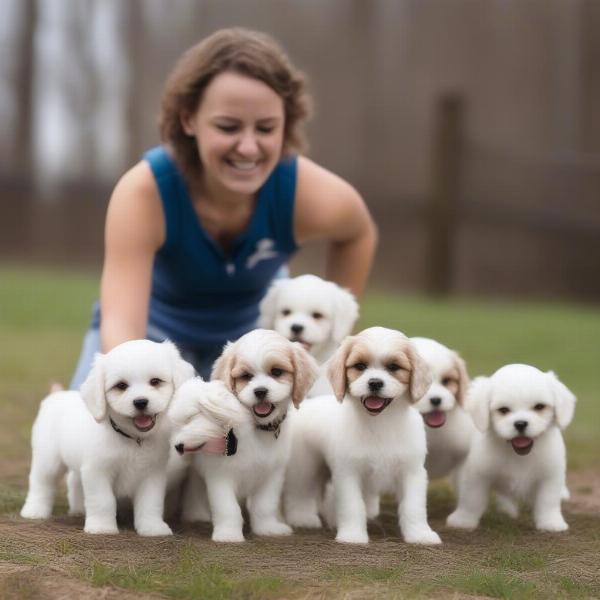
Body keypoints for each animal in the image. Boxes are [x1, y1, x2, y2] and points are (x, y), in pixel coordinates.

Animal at [20, 340, 195, 536]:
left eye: (155, 381)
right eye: (121, 386)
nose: (141, 402)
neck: (133, 439)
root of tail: (56, 396)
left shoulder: (152, 475)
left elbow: (150, 503)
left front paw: (152, 527)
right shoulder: (97, 471)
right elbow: (103, 501)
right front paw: (101, 527)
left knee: (74, 481)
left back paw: (78, 509)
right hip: (48, 460)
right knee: (41, 483)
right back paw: (35, 510)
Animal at [183, 330, 322, 540]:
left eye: (276, 372)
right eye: (246, 376)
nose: (260, 391)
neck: (256, 428)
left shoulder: (271, 475)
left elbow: (264, 506)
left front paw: (267, 528)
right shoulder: (220, 476)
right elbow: (228, 508)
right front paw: (228, 534)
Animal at [282, 326, 440, 548]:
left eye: (393, 367)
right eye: (360, 366)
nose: (374, 382)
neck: (380, 423)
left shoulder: (412, 472)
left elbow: (413, 507)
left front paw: (420, 534)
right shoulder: (348, 473)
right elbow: (352, 506)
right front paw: (352, 535)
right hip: (305, 467)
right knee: (300, 493)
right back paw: (303, 518)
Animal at [448, 364, 576, 532]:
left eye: (539, 407)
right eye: (503, 410)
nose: (520, 423)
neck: (518, 455)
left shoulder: (550, 476)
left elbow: (548, 501)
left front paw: (551, 523)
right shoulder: (478, 475)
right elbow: (471, 499)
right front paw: (463, 520)